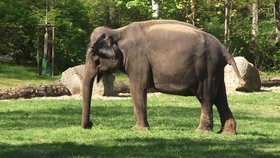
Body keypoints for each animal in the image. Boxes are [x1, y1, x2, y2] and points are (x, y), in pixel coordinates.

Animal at [81, 19, 243, 134]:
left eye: (94, 55)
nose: (90, 125)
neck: (117, 32)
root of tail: (223, 49)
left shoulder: (138, 58)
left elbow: (137, 87)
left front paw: (138, 129)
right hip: (216, 70)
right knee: (220, 97)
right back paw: (226, 133)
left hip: (207, 68)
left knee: (206, 97)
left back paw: (201, 130)